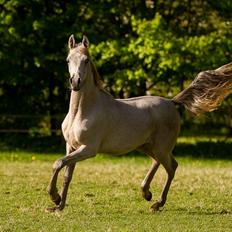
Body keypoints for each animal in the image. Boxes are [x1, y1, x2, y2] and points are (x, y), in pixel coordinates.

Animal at [46, 34, 231, 212]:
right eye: (68, 60)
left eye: (86, 60)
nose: (75, 82)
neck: (82, 112)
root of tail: (171, 102)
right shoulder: (71, 147)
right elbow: (66, 175)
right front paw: (58, 205)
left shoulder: (88, 149)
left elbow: (58, 163)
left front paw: (54, 197)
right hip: (148, 146)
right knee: (159, 162)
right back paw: (146, 192)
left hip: (160, 147)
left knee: (171, 167)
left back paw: (157, 203)